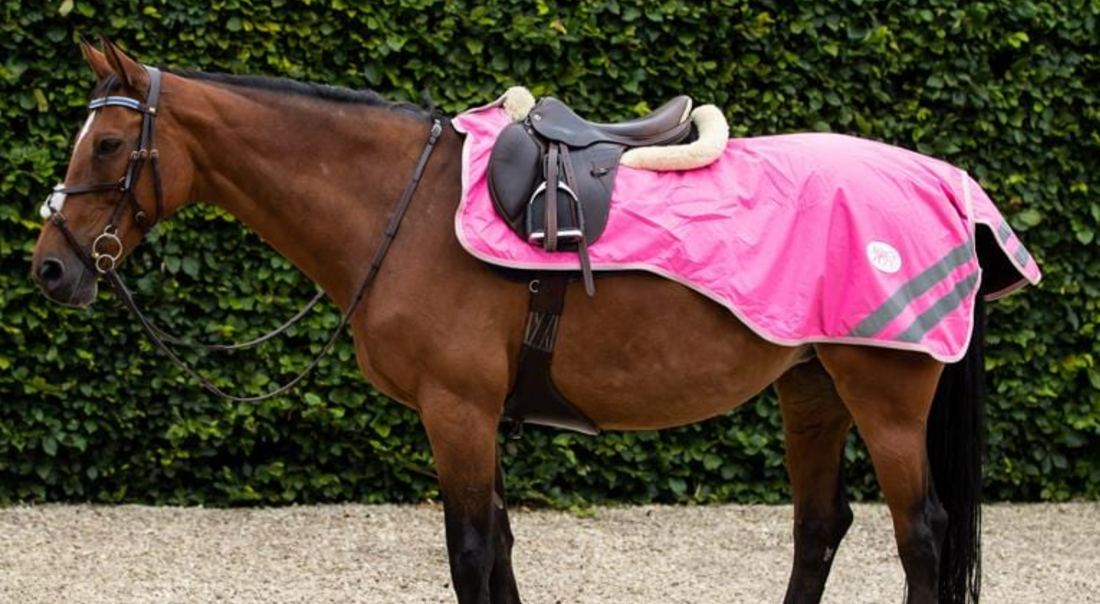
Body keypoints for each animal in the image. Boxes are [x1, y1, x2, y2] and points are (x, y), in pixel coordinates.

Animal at [31, 39, 992, 604]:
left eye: (107, 145)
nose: (51, 267)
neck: (406, 207)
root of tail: (944, 183)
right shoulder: (474, 414)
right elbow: (499, 547)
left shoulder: (455, 409)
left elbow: (470, 550)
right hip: (812, 390)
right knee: (819, 526)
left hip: (886, 398)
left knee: (922, 536)